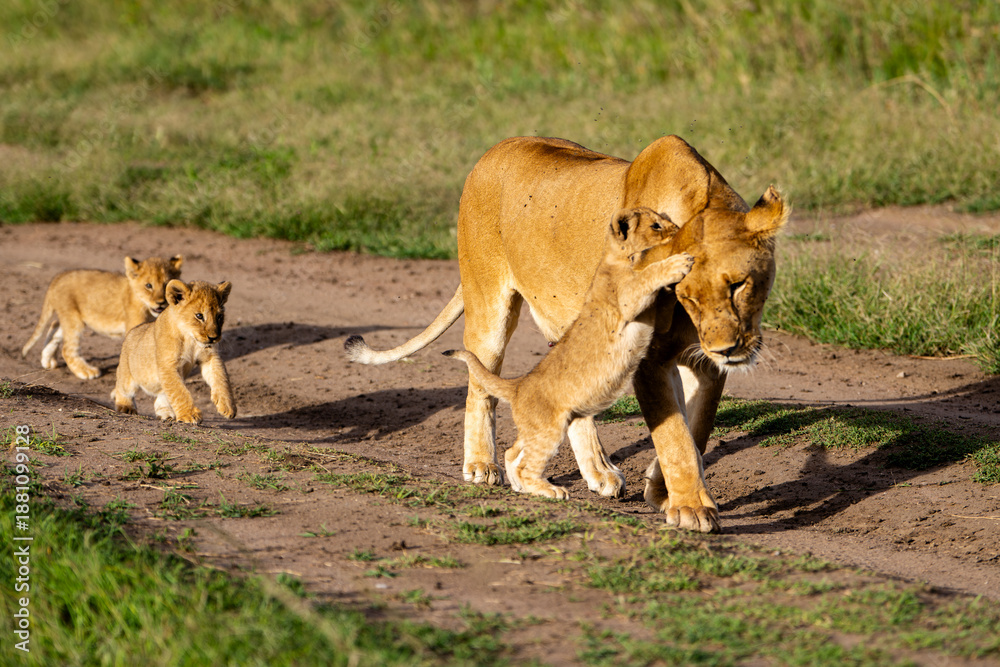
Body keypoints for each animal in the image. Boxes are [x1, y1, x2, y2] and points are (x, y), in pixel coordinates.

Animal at [22, 255, 184, 379]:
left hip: (71, 316)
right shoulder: (134, 325)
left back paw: (47, 360)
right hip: (73, 319)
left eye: (166, 285)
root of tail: (59, 276)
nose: (161, 302)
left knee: (55, 325)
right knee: (67, 349)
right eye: (148, 285)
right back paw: (86, 372)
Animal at [112, 280, 236, 425]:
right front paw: (190, 414)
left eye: (219, 316)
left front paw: (227, 406)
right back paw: (125, 406)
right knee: (122, 388)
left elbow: (221, 378)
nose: (213, 337)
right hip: (128, 375)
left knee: (162, 395)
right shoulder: (168, 365)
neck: (190, 339)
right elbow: (179, 391)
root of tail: (132, 331)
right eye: (199, 316)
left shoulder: (209, 357)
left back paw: (166, 414)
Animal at [444, 208, 692, 499]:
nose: (677, 230)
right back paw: (550, 490)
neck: (616, 255)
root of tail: (518, 385)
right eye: (655, 226)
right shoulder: (625, 297)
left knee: (513, 453)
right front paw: (678, 263)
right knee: (527, 464)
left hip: (535, 430)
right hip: (550, 429)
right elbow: (648, 277)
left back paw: (522, 486)